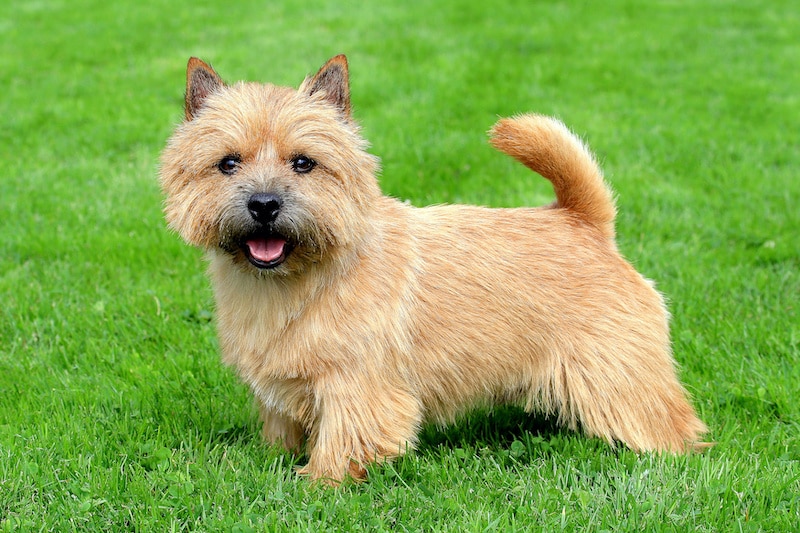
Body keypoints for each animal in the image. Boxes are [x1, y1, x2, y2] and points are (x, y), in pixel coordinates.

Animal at [158, 54, 708, 482]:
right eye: (228, 163)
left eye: (304, 163)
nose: (264, 203)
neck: (295, 282)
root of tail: (584, 221)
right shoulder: (281, 386)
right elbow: (280, 428)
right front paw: (272, 460)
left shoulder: (356, 386)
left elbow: (343, 441)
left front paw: (316, 483)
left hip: (617, 372)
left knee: (665, 423)